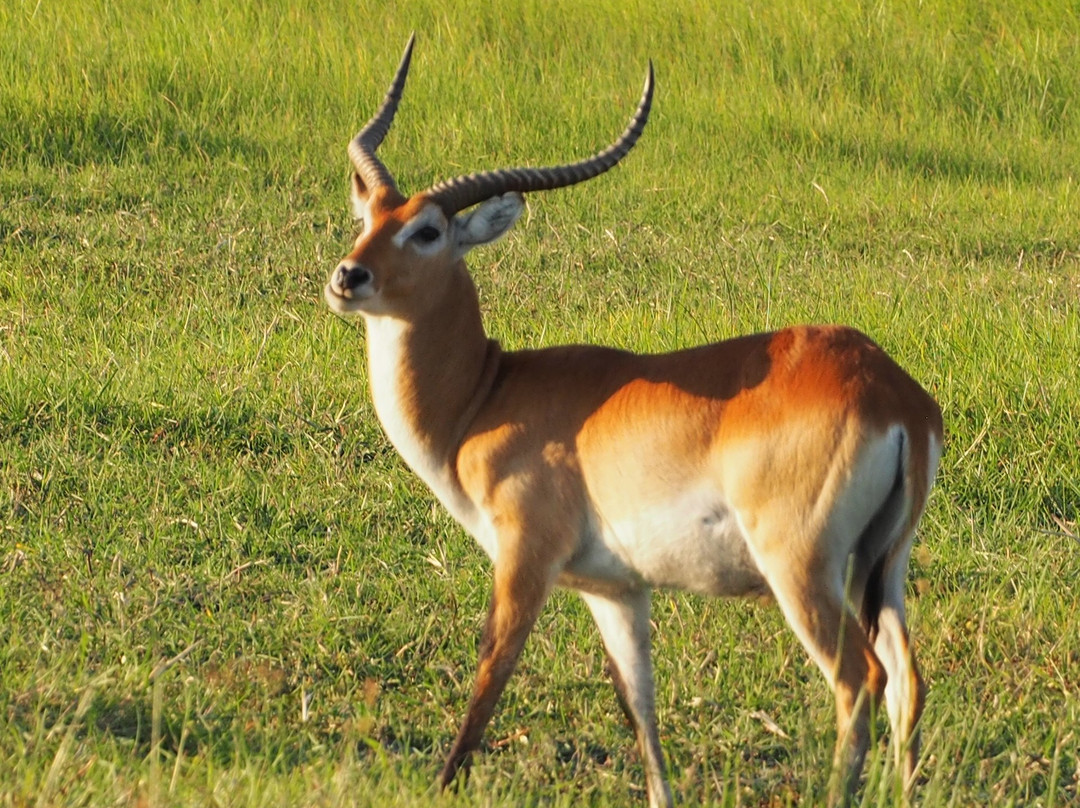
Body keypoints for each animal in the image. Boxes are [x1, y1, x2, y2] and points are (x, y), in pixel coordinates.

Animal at [321, 34, 946, 803]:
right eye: (367, 219)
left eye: (428, 230)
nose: (348, 277)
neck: (483, 396)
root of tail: (893, 392)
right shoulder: (615, 588)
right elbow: (638, 704)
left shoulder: (525, 557)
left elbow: (490, 675)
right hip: (880, 565)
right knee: (907, 678)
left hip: (801, 566)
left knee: (860, 679)